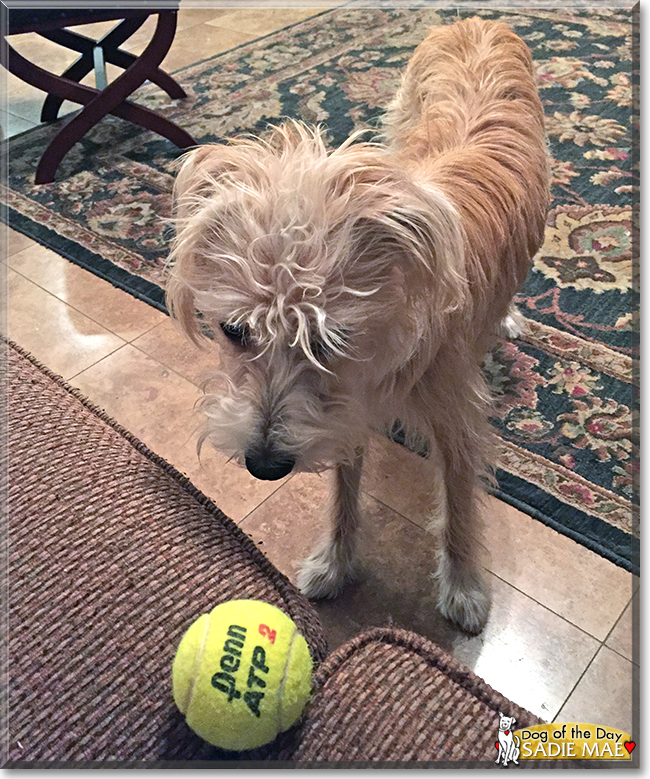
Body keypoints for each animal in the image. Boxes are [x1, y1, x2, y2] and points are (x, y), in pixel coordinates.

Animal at [163, 16, 548, 632]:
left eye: (330, 338)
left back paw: (507, 314)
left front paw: (464, 587)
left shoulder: (456, 421)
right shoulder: (344, 415)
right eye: (234, 331)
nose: (264, 466)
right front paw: (334, 564)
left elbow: (459, 507)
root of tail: (476, 21)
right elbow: (343, 492)